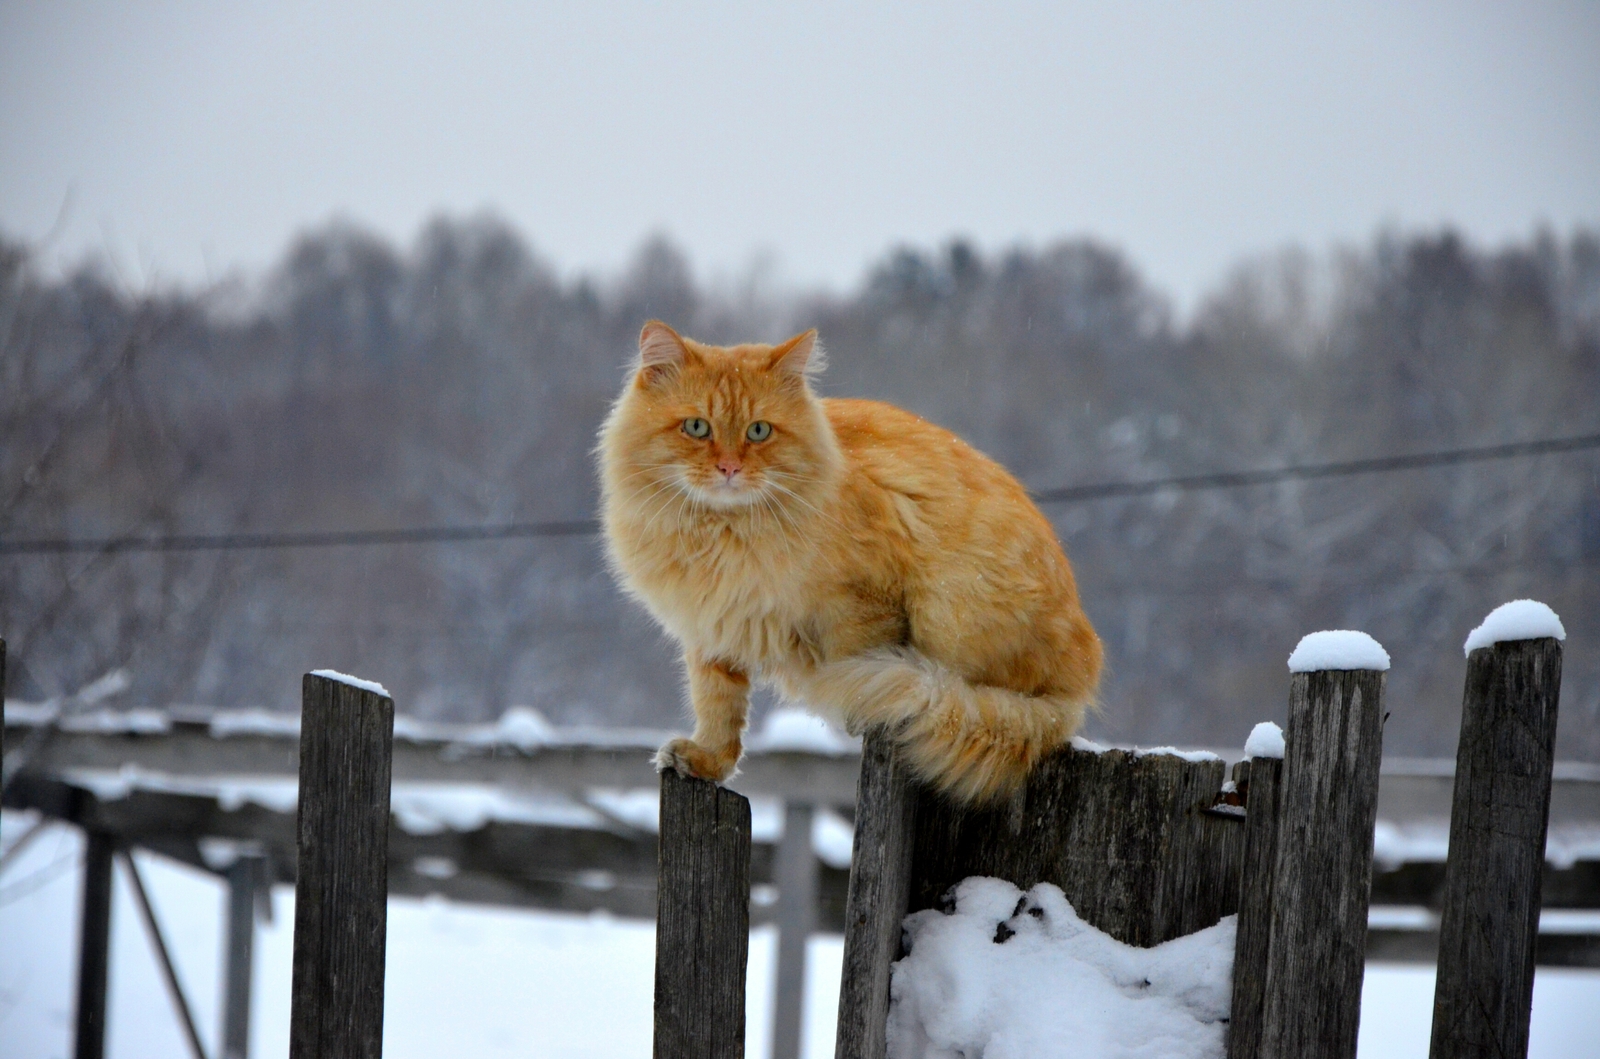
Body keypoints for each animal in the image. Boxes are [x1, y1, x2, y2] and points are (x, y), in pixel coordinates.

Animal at [598, 323, 1100, 806]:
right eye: (697, 427)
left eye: (759, 431)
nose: (728, 469)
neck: (723, 533)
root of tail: (1075, 690)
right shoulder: (711, 630)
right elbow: (719, 708)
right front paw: (707, 762)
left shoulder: (864, 599)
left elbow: (854, 662)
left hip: (952, 613)